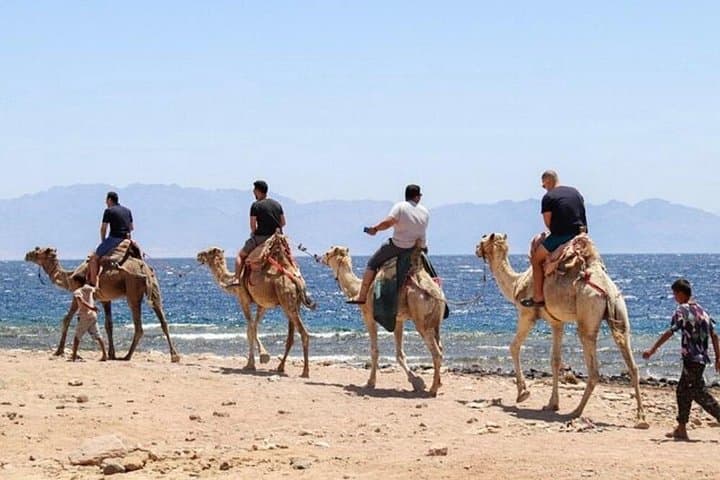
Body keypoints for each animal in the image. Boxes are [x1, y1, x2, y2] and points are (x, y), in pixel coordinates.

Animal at [25, 247, 180, 363]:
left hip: (132, 290)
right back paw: (174, 356)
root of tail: (144, 268)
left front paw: (59, 351)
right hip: (154, 288)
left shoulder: (77, 291)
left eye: (38, 251)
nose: (27, 255)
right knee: (163, 320)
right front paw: (111, 354)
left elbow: (66, 319)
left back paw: (127, 356)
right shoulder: (106, 299)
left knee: (139, 326)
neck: (70, 276)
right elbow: (108, 324)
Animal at [197, 233, 315, 377]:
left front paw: (254, 362)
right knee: (291, 337)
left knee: (304, 333)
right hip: (293, 303)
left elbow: (250, 329)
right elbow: (254, 327)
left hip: (287, 300)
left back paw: (305, 371)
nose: (198, 255)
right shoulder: (262, 304)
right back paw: (280, 367)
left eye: (208, 251)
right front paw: (259, 358)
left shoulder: (243, 299)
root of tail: (297, 280)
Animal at [321, 246, 446, 396]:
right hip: (436, 322)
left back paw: (433, 389)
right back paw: (438, 383)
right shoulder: (398, 320)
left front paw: (370, 382)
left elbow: (374, 351)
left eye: (328, 253)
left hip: (422, 321)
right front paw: (417, 382)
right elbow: (399, 354)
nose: (319, 257)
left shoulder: (368, 316)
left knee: (436, 352)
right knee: (440, 347)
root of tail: (432, 290)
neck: (357, 289)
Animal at [476, 233, 647, 426]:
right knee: (632, 364)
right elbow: (555, 360)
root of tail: (607, 290)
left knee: (593, 368)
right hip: (620, 313)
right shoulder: (557, 322)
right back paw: (641, 417)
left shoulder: (527, 315)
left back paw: (576, 411)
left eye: (483, 240)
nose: (476, 249)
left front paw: (523, 393)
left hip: (587, 314)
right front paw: (552, 404)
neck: (516, 283)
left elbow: (514, 347)